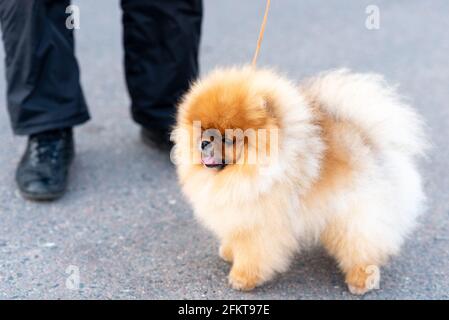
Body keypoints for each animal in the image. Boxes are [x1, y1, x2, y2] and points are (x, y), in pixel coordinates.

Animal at [171, 67, 424, 296]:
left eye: (228, 139)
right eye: (203, 130)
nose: (204, 143)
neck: (245, 172)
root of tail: (368, 139)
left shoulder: (260, 223)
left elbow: (254, 253)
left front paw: (242, 278)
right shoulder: (238, 214)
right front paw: (229, 251)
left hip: (356, 213)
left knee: (362, 245)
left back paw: (362, 279)